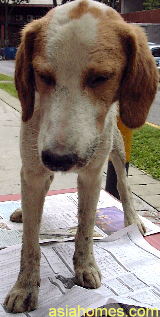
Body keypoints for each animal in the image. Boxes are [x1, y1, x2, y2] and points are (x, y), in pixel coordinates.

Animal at [3, 0, 158, 312]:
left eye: (101, 78)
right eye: (43, 76)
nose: (58, 159)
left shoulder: (92, 174)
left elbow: (85, 227)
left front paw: (85, 265)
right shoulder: (33, 169)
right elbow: (29, 241)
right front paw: (25, 286)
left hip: (116, 146)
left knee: (123, 185)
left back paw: (133, 219)